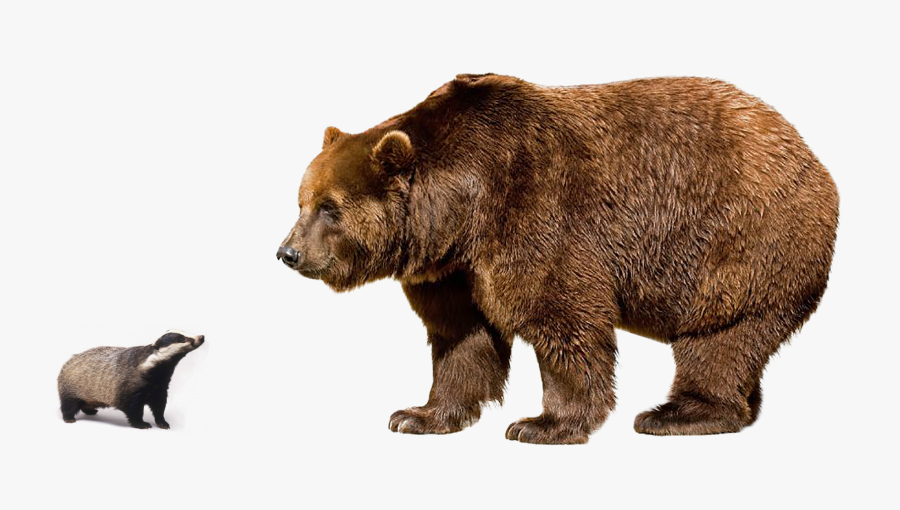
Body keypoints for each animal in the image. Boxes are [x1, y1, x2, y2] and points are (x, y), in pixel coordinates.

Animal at [277, 73, 839, 444]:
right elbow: (462, 338)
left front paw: (542, 423)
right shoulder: (453, 270)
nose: (288, 252)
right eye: (300, 201)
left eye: (330, 208)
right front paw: (417, 415)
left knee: (717, 338)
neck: (461, 208)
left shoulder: (537, 215)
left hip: (741, 243)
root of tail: (812, 157)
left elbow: (561, 319)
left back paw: (676, 414)